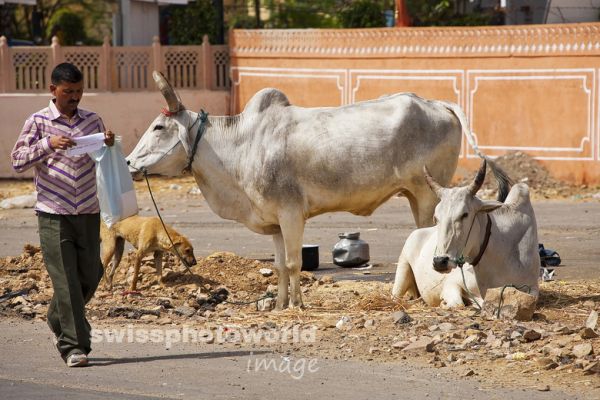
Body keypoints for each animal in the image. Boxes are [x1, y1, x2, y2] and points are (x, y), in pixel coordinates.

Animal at [127, 72, 474, 310]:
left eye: (159, 127)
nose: (129, 161)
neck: (240, 145)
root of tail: (435, 103)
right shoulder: (275, 222)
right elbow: (280, 265)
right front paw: (280, 304)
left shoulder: (291, 213)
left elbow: (294, 263)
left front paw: (297, 305)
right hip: (417, 196)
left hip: (428, 194)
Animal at [392, 158, 540, 308]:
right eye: (436, 217)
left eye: (465, 214)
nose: (440, 261)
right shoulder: (451, 284)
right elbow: (458, 304)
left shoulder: (533, 288)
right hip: (402, 268)